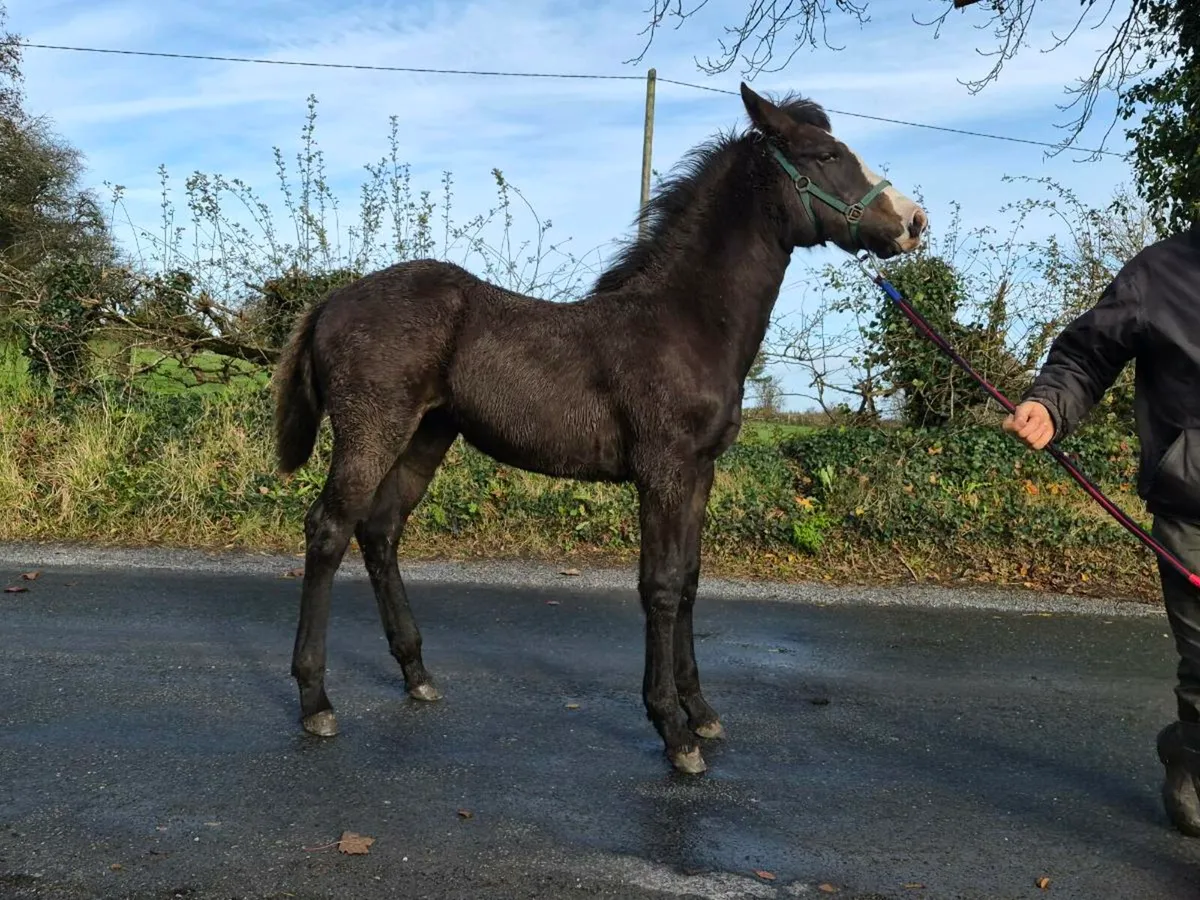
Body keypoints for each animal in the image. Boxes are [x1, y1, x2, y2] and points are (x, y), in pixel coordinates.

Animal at [271, 82, 927, 774]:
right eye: (826, 154)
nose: (914, 222)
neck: (684, 325)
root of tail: (332, 301)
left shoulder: (700, 472)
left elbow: (689, 582)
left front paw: (702, 711)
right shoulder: (662, 470)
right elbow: (659, 586)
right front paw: (673, 732)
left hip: (427, 435)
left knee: (380, 530)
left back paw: (416, 674)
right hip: (372, 430)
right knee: (329, 529)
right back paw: (316, 701)